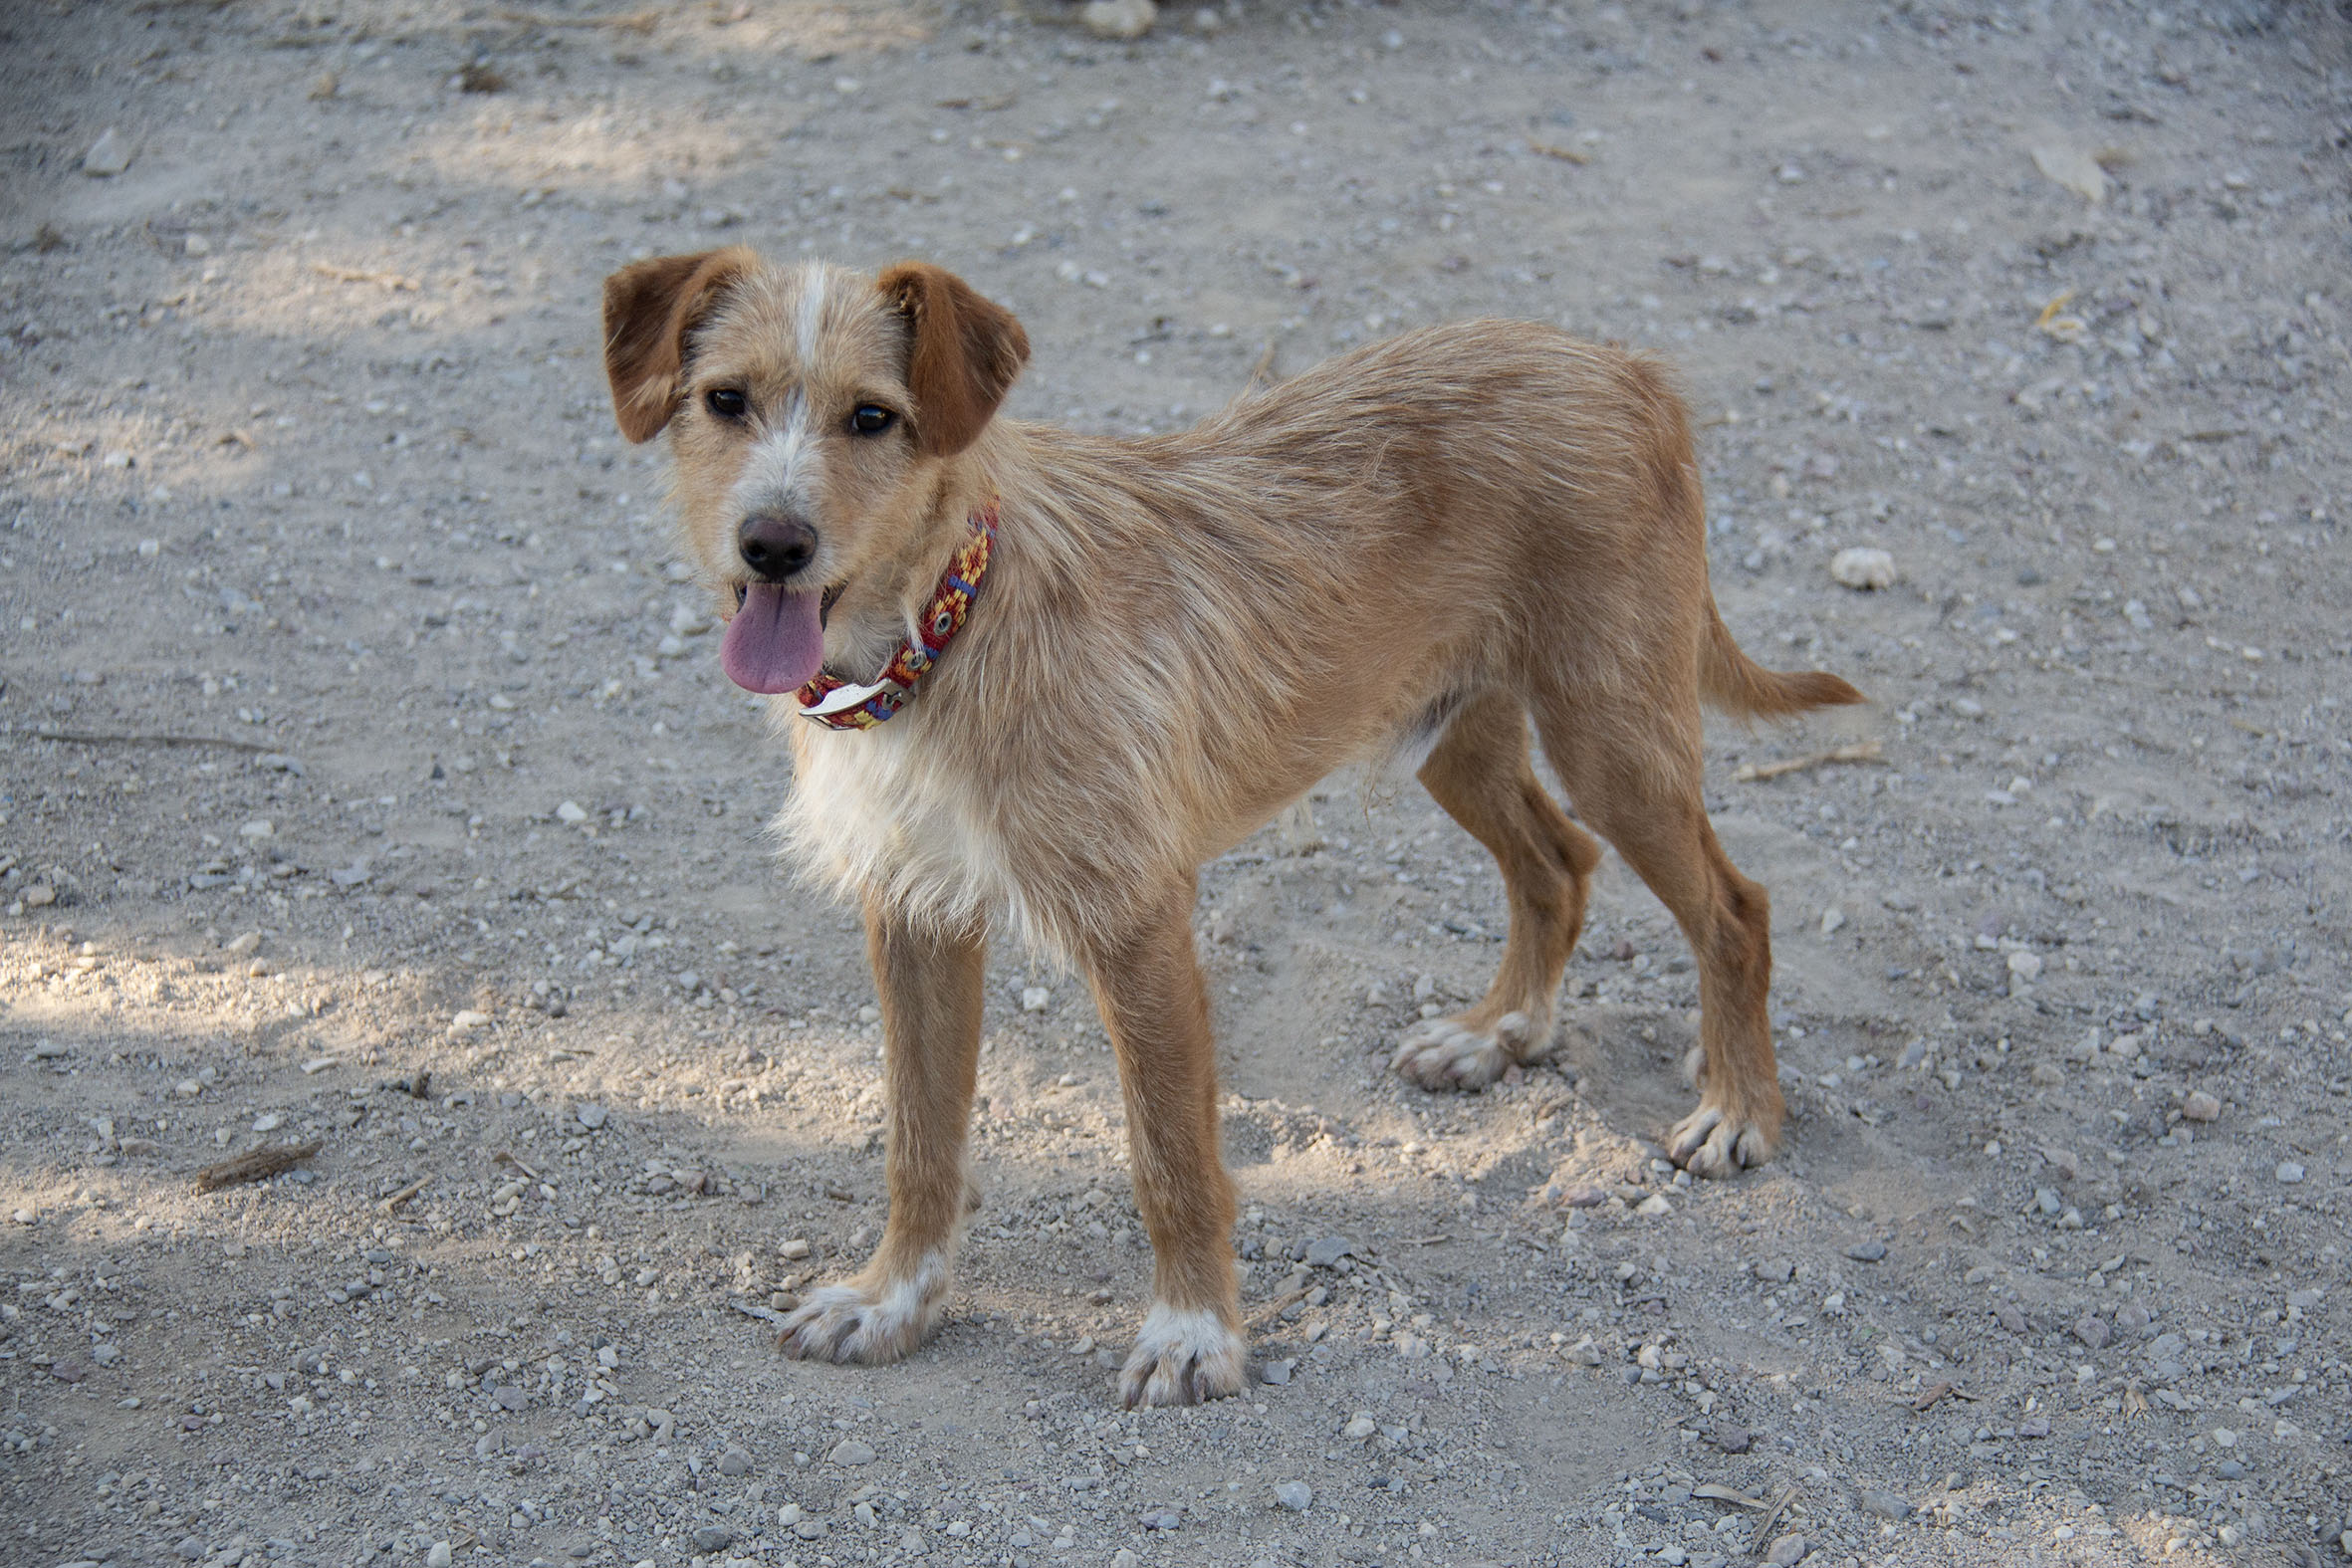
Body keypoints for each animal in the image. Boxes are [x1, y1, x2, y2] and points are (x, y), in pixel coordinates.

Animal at [599, 248, 1862, 1407]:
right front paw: (892, 1300)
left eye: (873, 417)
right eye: (725, 400)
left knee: (1733, 908)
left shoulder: (1137, 923)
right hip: (1455, 733)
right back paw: (1497, 1033)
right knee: (1556, 862)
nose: (772, 543)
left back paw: (1738, 1108)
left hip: (1612, 738)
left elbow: (1169, 1157)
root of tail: (1617, 365)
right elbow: (920, 1140)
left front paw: (1193, 1333)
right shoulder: (913, 916)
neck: (945, 628)